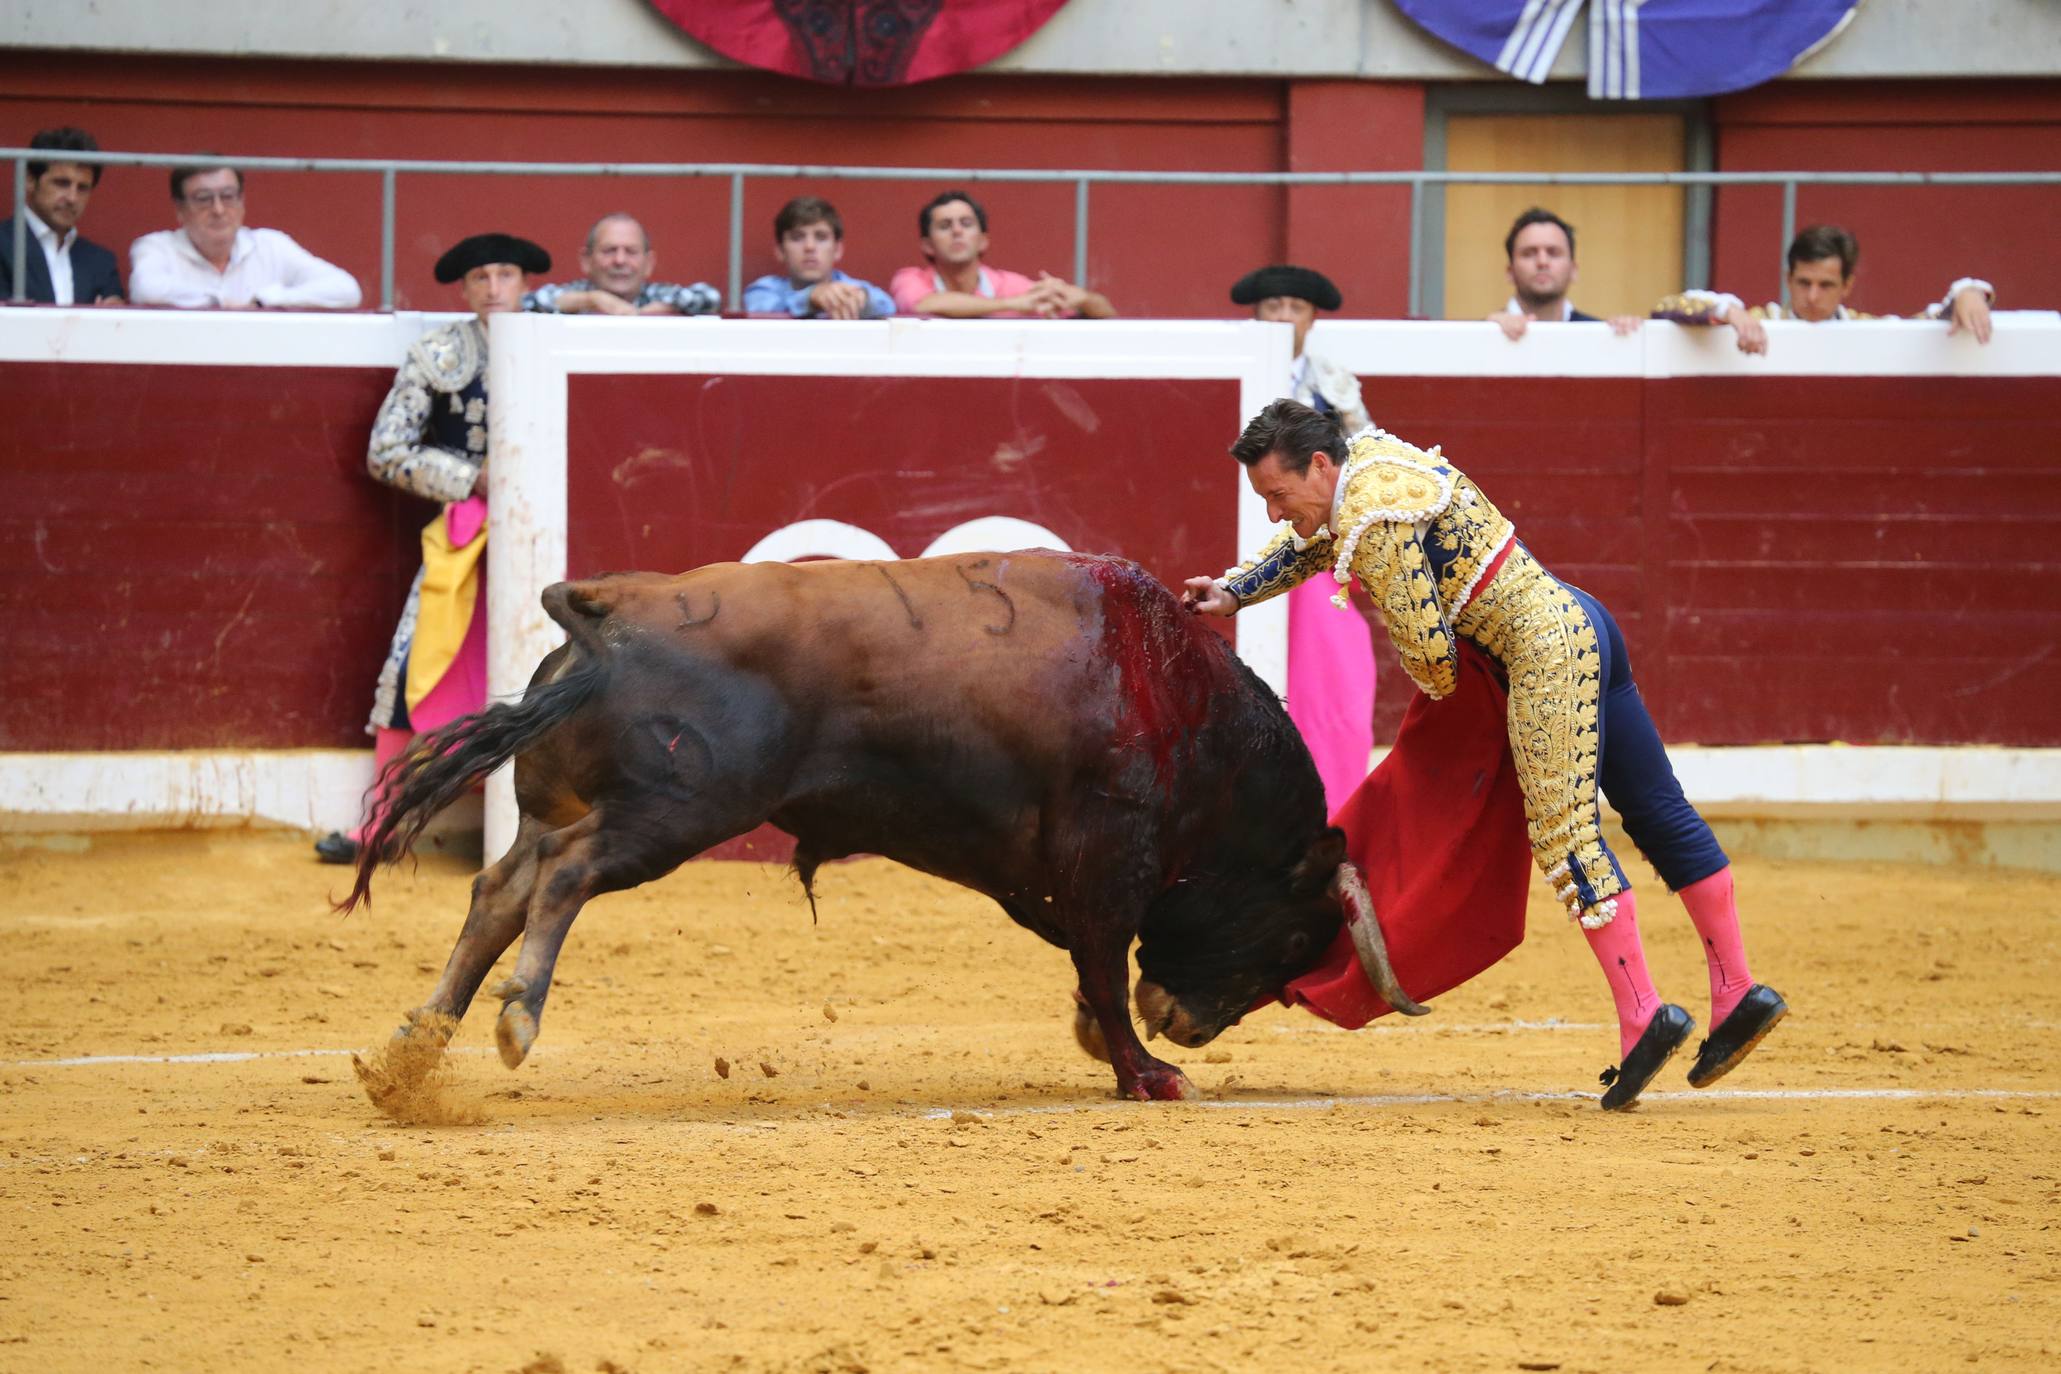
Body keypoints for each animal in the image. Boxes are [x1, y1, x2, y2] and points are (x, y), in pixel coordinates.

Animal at [346, 552, 1426, 1104]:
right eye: (1290, 939)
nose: (1189, 1023)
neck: (1181, 707)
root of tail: (614, 608)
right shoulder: (1106, 864)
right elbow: (1103, 965)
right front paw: (1146, 1072)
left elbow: (1090, 969)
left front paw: (1118, 1046)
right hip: (676, 811)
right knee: (566, 877)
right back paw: (514, 1022)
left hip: (561, 804)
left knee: (501, 889)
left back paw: (411, 1051)